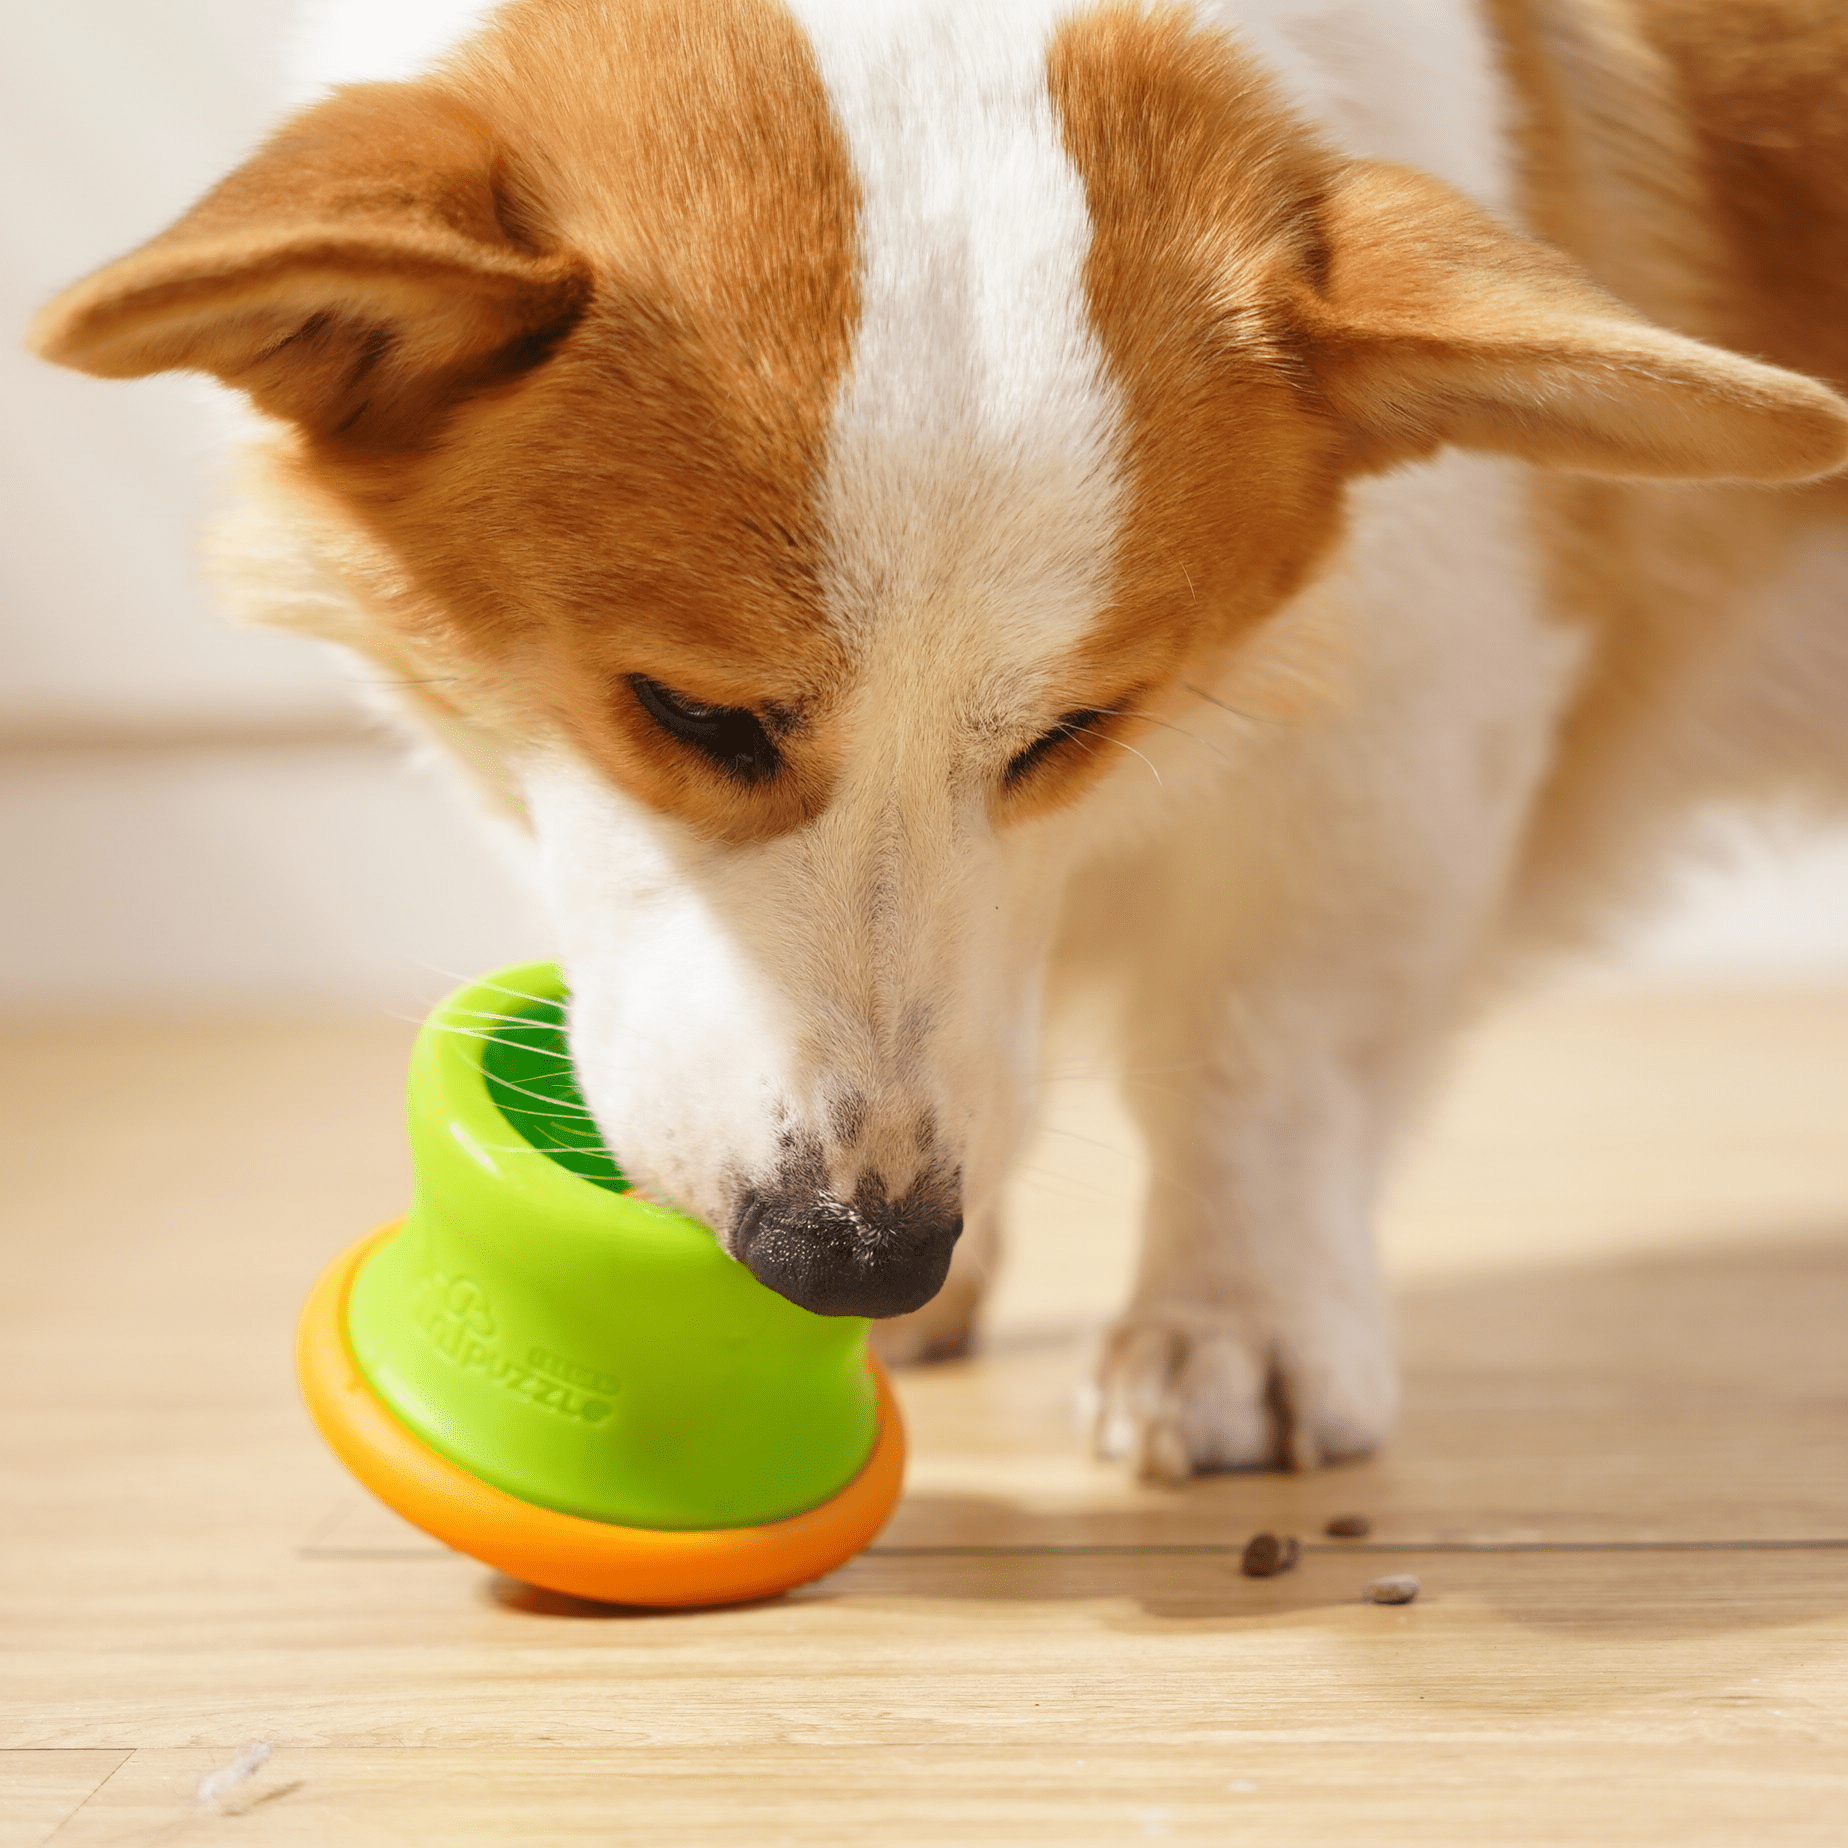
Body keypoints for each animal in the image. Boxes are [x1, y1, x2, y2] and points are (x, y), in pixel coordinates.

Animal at [36, 0, 1848, 1478]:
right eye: (693, 715)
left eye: (1077, 729)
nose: (857, 1257)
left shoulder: (1410, 710)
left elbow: (1262, 1052)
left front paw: (1233, 1326)